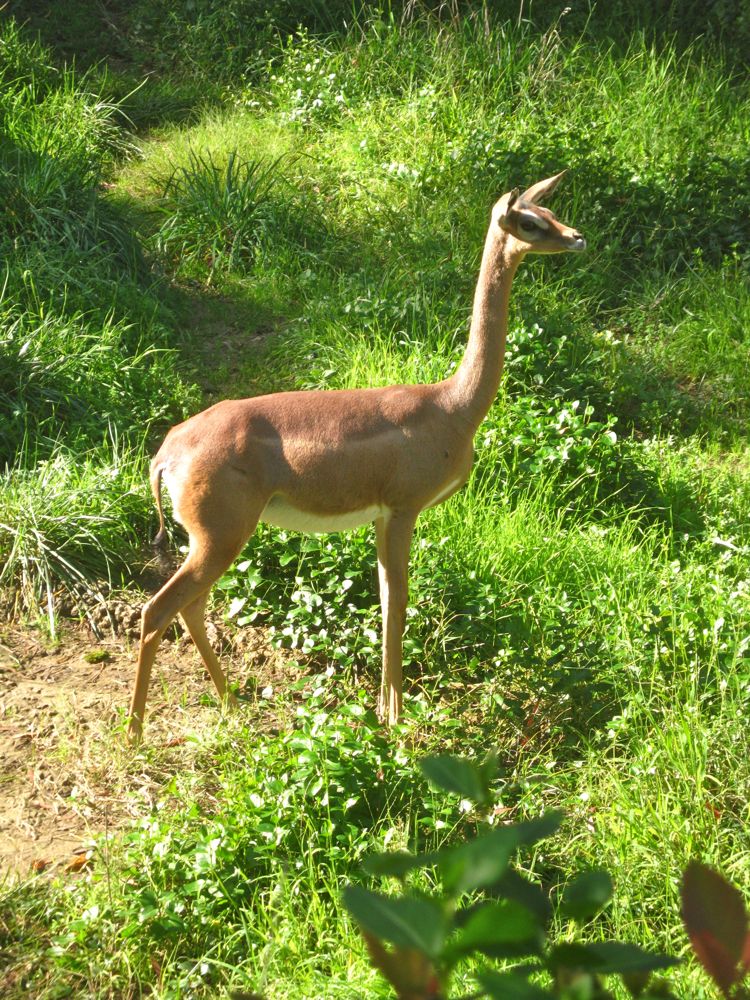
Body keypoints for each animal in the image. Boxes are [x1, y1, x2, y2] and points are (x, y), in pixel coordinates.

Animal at [129, 168, 588, 740]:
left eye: (548, 211)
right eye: (528, 221)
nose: (577, 238)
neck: (450, 406)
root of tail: (166, 452)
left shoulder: (380, 517)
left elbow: (387, 597)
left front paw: (387, 709)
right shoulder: (403, 509)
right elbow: (400, 600)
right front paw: (395, 717)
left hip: (210, 541)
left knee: (189, 608)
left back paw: (233, 706)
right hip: (220, 538)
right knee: (156, 610)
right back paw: (135, 737)